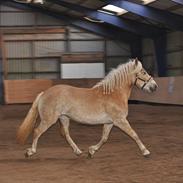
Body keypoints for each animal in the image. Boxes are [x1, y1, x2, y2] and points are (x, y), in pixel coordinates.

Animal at [16, 58, 157, 158]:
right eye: (143, 72)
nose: (155, 86)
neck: (114, 93)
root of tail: (44, 93)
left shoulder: (110, 122)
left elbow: (104, 138)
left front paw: (91, 151)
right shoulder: (120, 121)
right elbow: (134, 134)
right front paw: (146, 151)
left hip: (64, 118)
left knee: (66, 134)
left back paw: (78, 151)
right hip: (49, 120)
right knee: (37, 131)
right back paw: (30, 152)